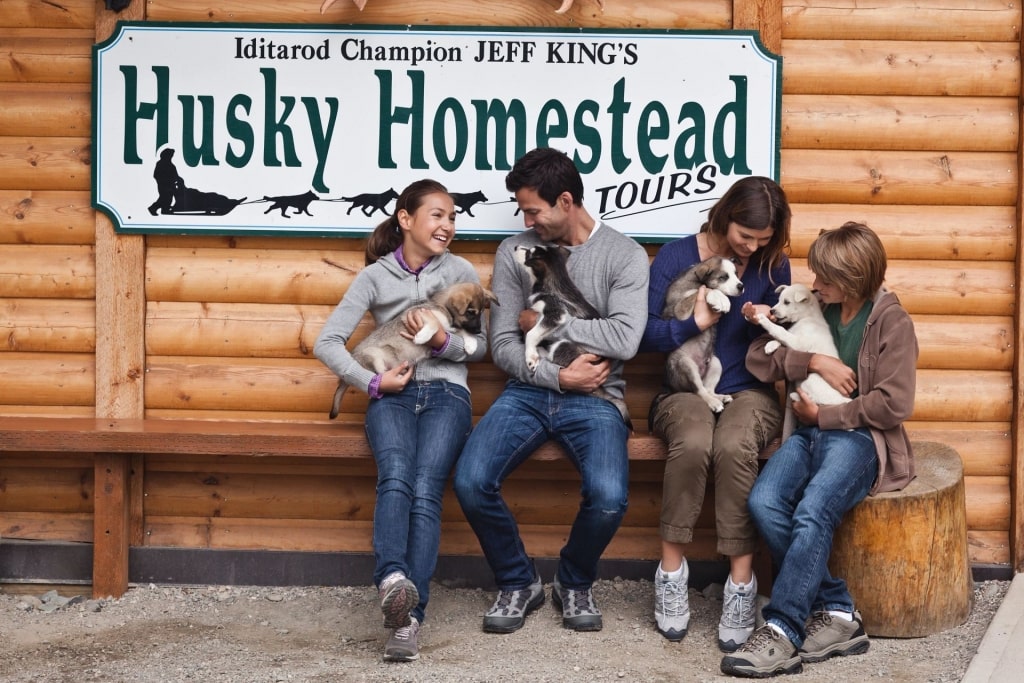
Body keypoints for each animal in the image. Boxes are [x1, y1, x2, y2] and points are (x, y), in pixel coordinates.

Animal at [329, 282, 497, 419]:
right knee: (380, 374)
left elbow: (461, 331)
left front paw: (471, 344)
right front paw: (422, 337)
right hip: (374, 354)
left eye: (481, 312)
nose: (478, 331)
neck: (444, 309)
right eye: (470, 312)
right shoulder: (423, 316)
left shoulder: (450, 330)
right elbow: (435, 325)